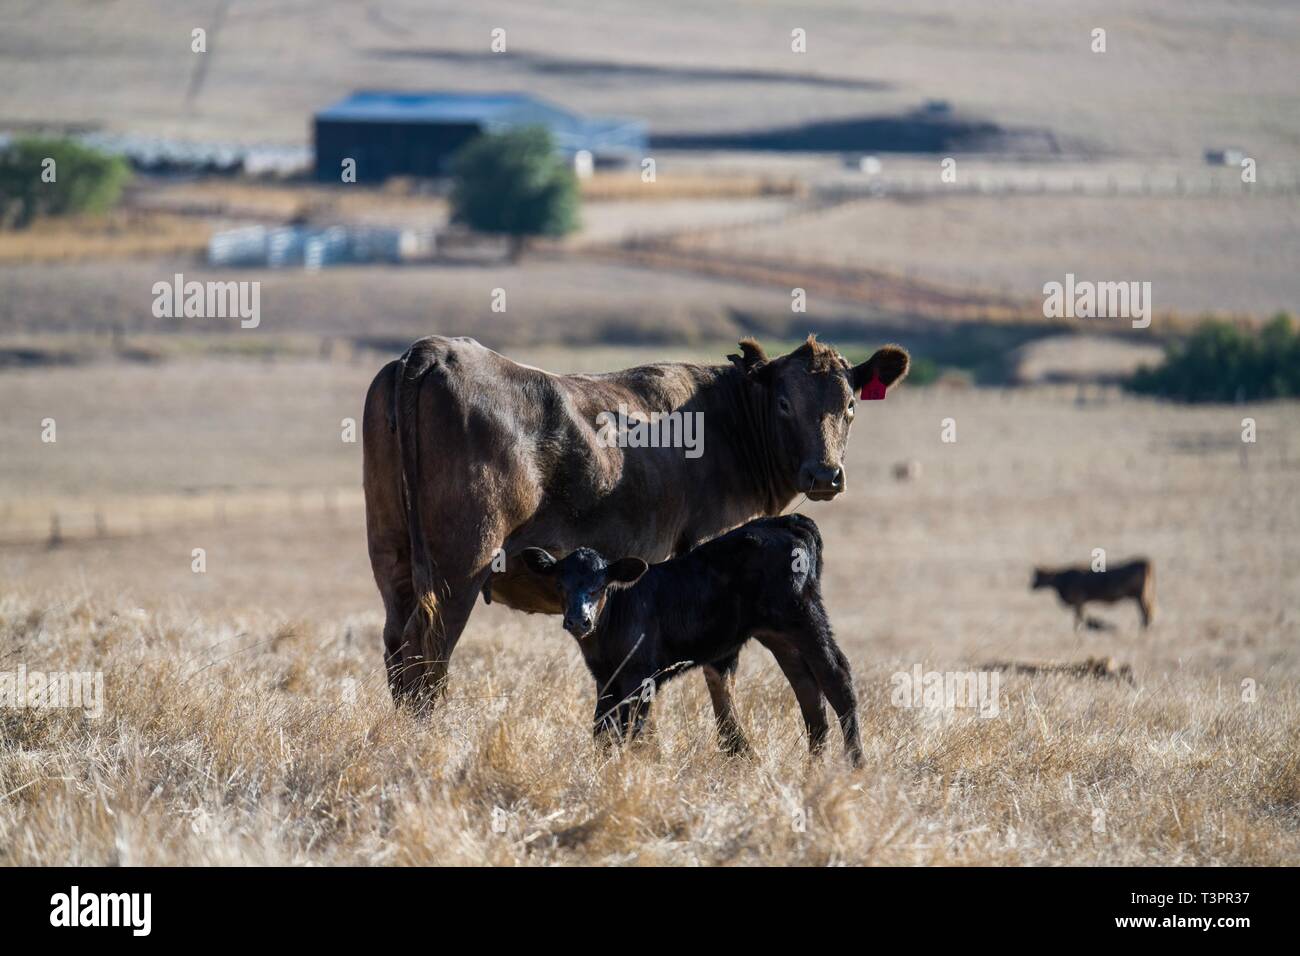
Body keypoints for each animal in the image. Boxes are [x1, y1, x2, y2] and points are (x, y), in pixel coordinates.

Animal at [362, 334, 908, 709]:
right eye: (784, 401)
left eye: (850, 405)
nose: (826, 473)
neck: (726, 420)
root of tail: (431, 351)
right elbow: (721, 668)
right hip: (461, 566)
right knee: (428, 649)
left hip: (392, 556)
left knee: (395, 644)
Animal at [518, 513, 864, 766]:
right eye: (560, 584)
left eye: (600, 585)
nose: (579, 620)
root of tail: (789, 520)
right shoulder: (605, 677)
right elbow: (601, 728)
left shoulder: (640, 675)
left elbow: (633, 730)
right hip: (778, 634)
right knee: (807, 688)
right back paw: (813, 768)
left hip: (803, 615)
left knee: (836, 677)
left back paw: (855, 765)